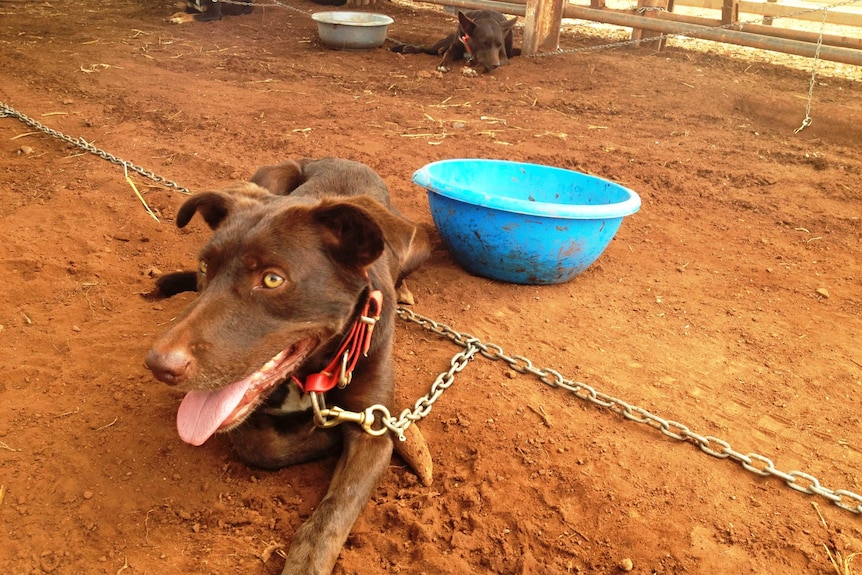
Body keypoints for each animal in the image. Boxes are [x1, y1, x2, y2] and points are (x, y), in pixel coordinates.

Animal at [148, 159, 436, 575]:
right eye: (204, 266)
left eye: (272, 279)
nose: (158, 365)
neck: (312, 371)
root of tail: (342, 159)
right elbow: (261, 445)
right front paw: (326, 437)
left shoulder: (371, 425)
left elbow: (332, 516)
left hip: (420, 243)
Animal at [392, 9, 520, 73]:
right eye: (483, 43)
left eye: (499, 44)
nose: (495, 65)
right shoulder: (456, 45)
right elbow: (450, 52)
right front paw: (443, 64)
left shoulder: (503, 58)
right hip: (441, 42)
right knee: (428, 47)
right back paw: (406, 47)